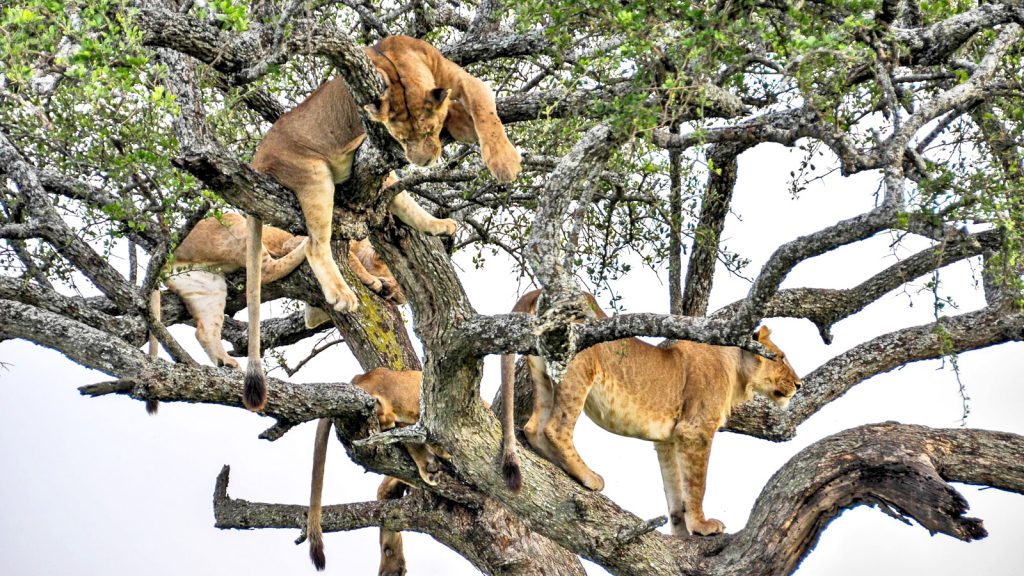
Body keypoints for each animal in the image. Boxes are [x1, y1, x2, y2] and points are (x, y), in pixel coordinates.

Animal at [147, 214, 403, 412]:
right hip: (237, 225)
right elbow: (352, 263)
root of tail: (169, 253)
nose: (401, 296)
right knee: (268, 269)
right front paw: (377, 282)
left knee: (204, 331)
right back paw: (304, 247)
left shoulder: (313, 310)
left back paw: (225, 362)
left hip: (208, 287)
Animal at [246, 34, 521, 410]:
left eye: (429, 130)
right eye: (399, 138)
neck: (397, 63)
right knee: (317, 246)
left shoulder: (458, 83)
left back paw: (434, 226)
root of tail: (257, 158)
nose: (422, 160)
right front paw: (506, 163)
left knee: (399, 203)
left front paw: (494, 151)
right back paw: (342, 294)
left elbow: (482, 108)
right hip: (314, 175)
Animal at [499, 290, 801, 536]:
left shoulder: (668, 440)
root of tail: (539, 291)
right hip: (579, 371)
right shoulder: (695, 431)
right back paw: (588, 476)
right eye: (781, 358)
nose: (799, 384)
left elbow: (675, 489)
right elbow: (696, 483)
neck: (736, 371)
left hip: (542, 375)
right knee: (555, 428)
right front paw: (702, 526)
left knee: (533, 427)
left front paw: (682, 532)